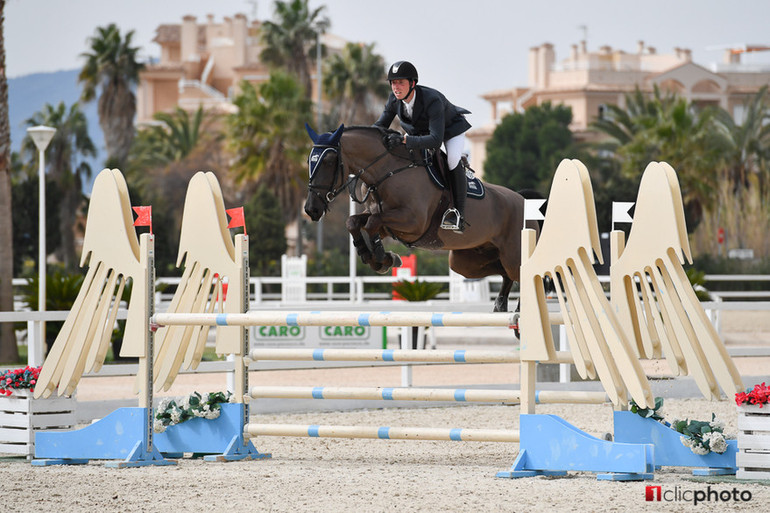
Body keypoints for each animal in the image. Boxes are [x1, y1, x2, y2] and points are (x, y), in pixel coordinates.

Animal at [302, 124, 540, 312]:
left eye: (329, 161)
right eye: (309, 161)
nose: (311, 209)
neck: (388, 171)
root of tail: (522, 199)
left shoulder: (413, 222)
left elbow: (371, 223)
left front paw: (381, 257)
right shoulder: (388, 224)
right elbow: (355, 222)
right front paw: (379, 258)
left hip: (512, 254)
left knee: (521, 272)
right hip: (465, 261)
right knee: (504, 272)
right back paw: (500, 305)